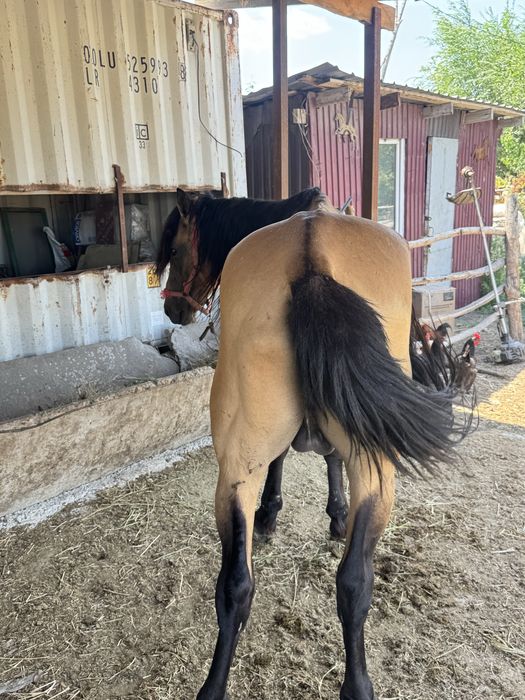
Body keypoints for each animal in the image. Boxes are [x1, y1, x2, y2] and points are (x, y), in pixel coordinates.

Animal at [158, 188, 472, 700]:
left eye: (180, 247)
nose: (173, 311)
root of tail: (312, 253)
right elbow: (321, 461)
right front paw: (326, 513)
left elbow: (292, 459)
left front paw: (288, 514)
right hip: (374, 470)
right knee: (353, 581)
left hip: (236, 471)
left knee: (239, 585)